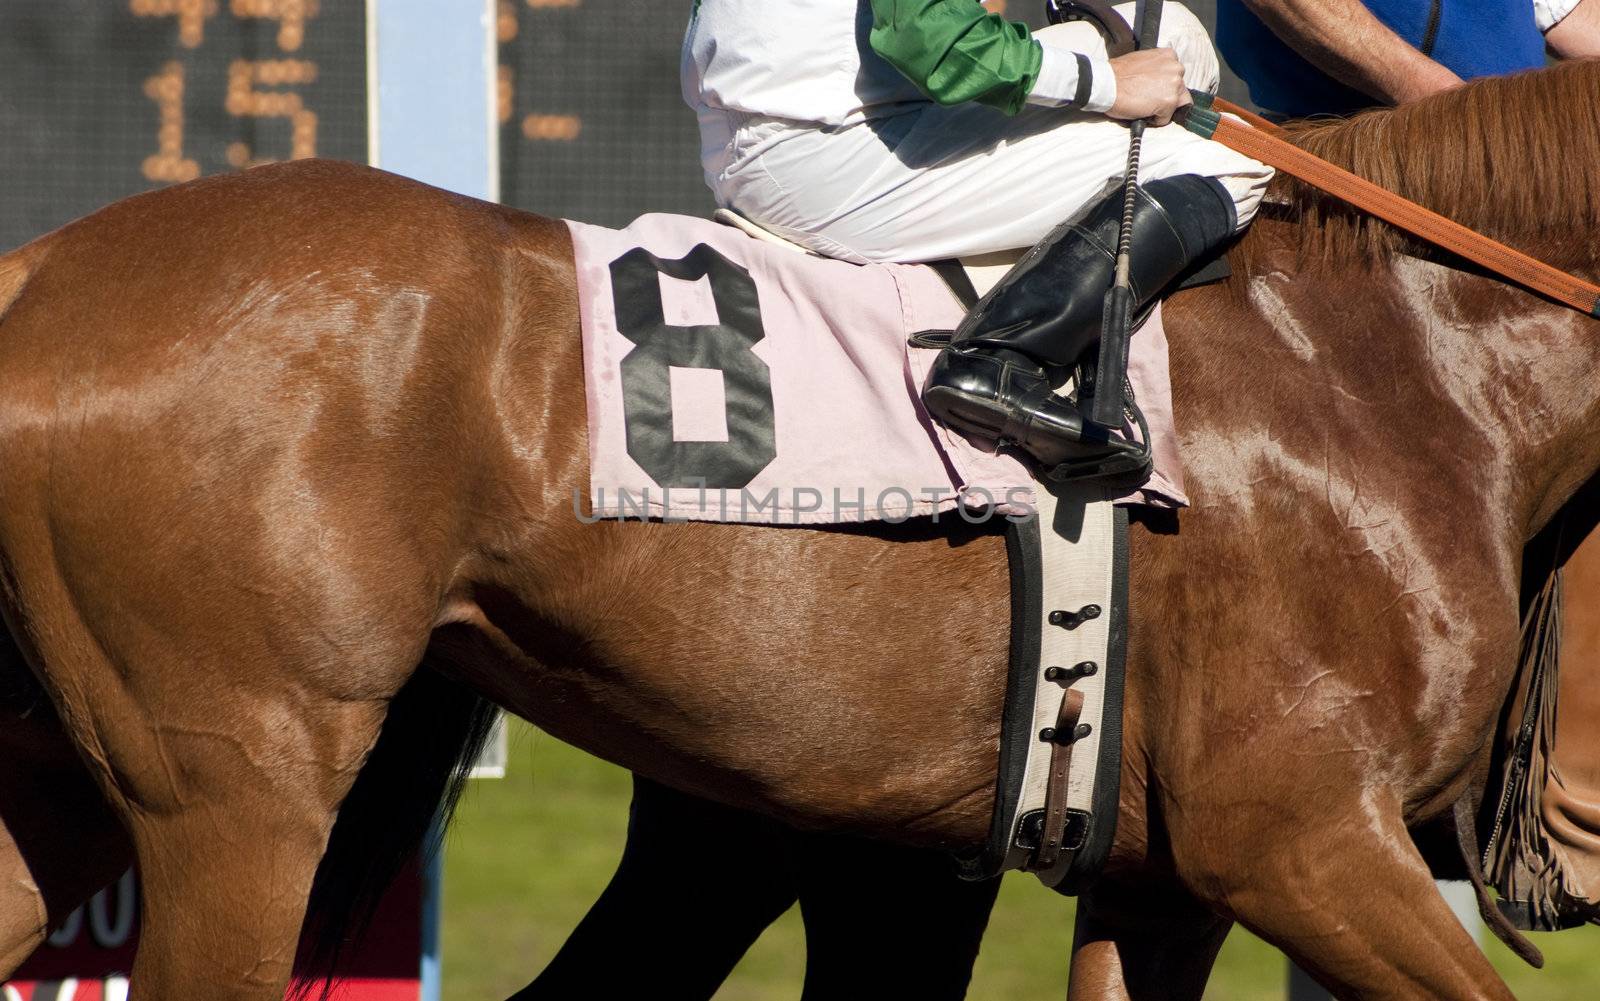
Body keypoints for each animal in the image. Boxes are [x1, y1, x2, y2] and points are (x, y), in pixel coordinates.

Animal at [0, 58, 1593, 991]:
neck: (1379, 359)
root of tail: (42, 266)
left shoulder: (1164, 873)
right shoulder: (1295, 834)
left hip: (76, 774)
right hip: (236, 781)